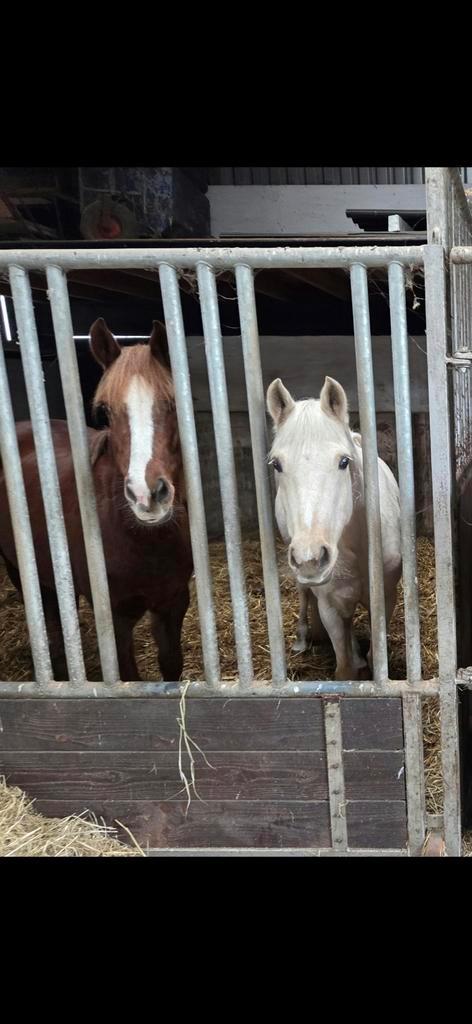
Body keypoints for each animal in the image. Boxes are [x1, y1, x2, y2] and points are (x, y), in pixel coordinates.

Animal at [0, 319, 193, 682]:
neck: (144, 544)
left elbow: (171, 666)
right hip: (19, 568)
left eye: (174, 404)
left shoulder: (173, 604)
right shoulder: (115, 620)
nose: (147, 495)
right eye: (104, 411)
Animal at [266, 375, 402, 681]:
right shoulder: (329, 604)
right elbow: (344, 668)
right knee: (305, 593)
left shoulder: (385, 598)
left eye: (343, 461)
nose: (311, 558)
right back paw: (304, 637)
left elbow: (376, 658)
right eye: (277, 464)